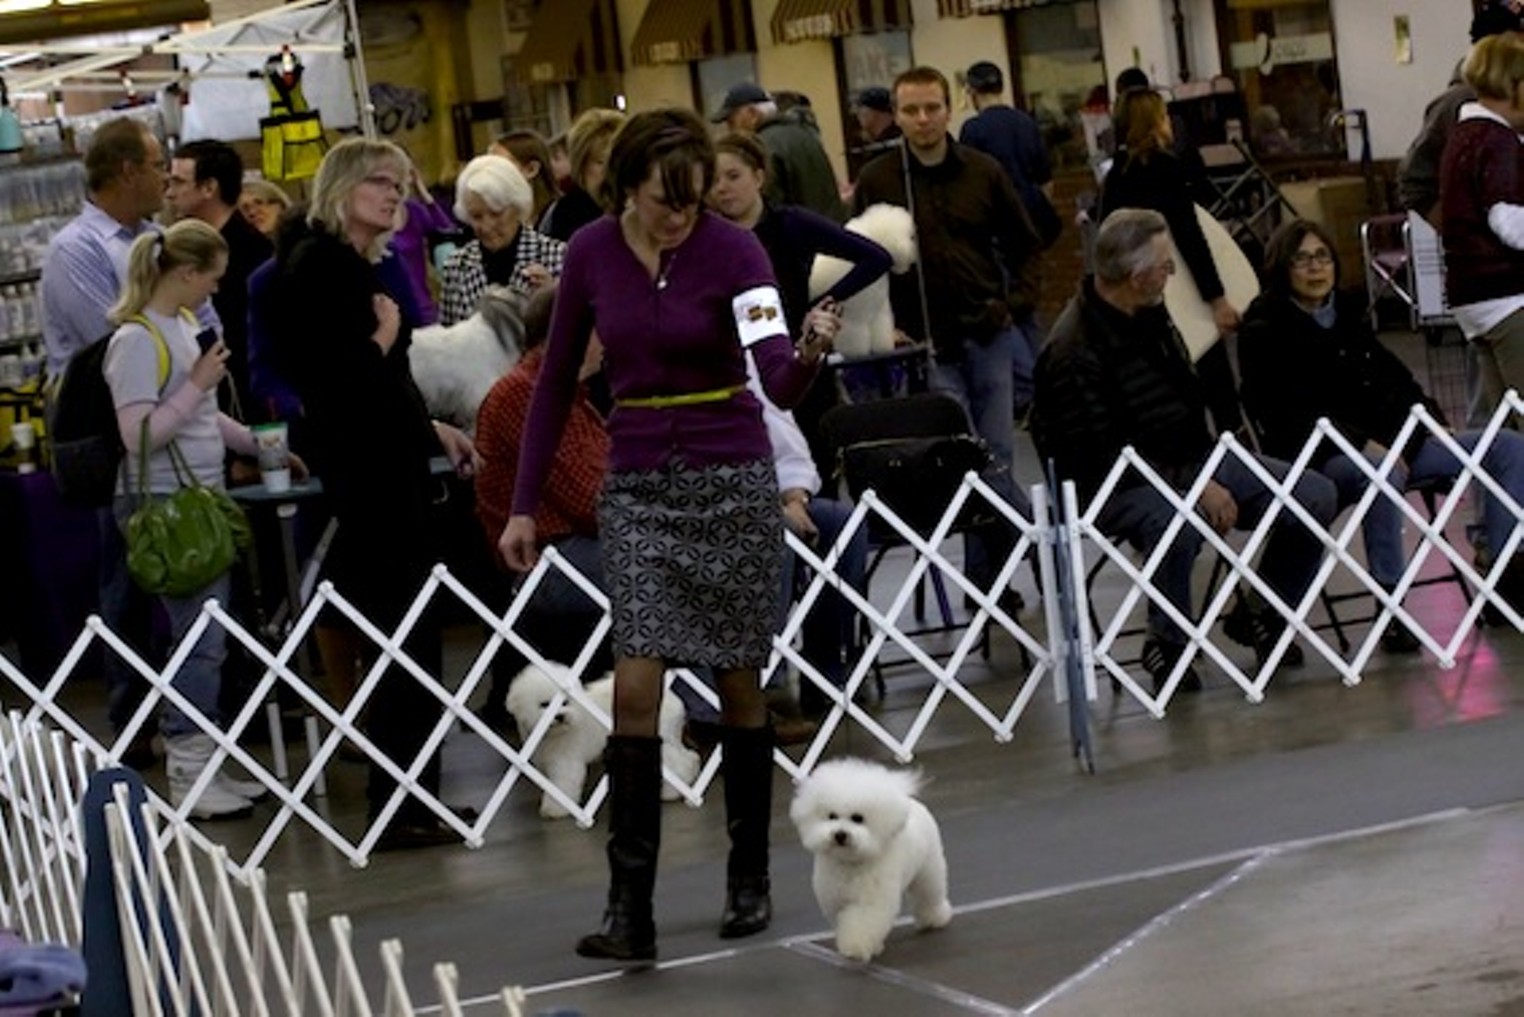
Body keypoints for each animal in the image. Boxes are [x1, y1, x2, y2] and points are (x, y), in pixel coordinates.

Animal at [509, 664, 704, 823]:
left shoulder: (565, 763)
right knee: (689, 757)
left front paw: (554, 810)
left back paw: (670, 793)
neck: (555, 734)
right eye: (544, 704)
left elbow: (562, 787)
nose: (561, 716)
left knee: (680, 764)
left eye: (565, 702)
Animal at [786, 756, 950, 963]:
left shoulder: (870, 902)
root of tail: (911, 803)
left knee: (929, 896)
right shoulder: (835, 900)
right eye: (832, 816)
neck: (851, 864)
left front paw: (855, 948)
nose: (840, 834)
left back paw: (935, 918)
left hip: (928, 869)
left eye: (858, 818)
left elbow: (863, 924)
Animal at [810, 201, 914, 359]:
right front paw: (857, 353)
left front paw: (883, 347)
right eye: (908, 237)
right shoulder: (854, 316)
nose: (913, 252)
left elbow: (880, 327)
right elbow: (855, 334)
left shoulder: (879, 309)